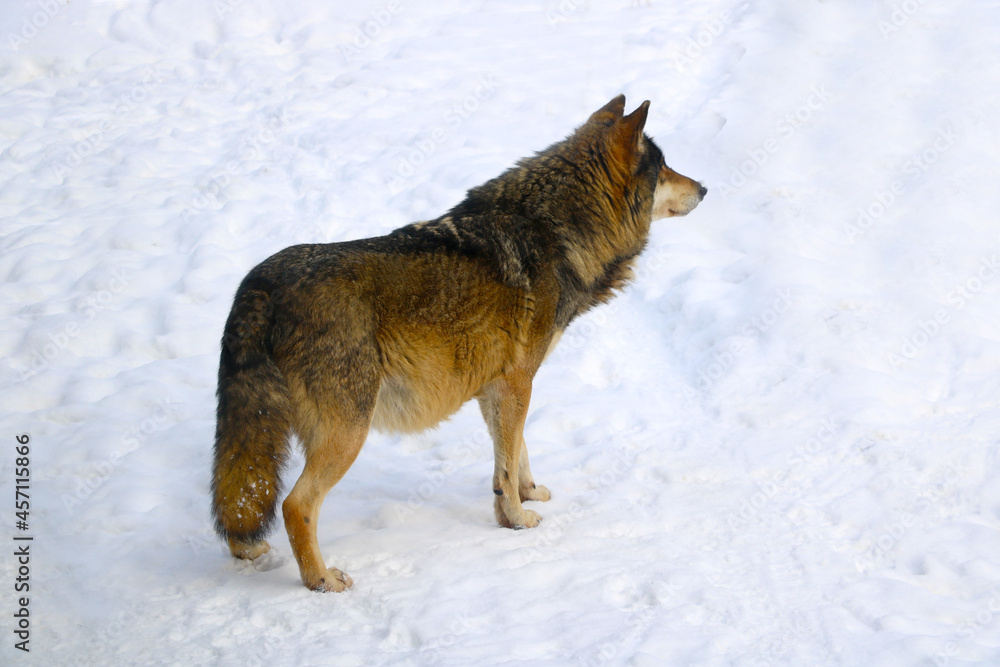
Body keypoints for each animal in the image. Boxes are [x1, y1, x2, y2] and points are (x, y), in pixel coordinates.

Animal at [211, 95, 706, 591]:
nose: (703, 187)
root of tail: (261, 283)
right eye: (664, 168)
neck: (554, 228)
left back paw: (249, 555)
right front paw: (519, 520)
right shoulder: (518, 381)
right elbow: (509, 459)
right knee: (295, 505)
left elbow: (515, 453)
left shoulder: (498, 387)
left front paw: (526, 496)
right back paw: (323, 581)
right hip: (349, 432)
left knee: (241, 496)